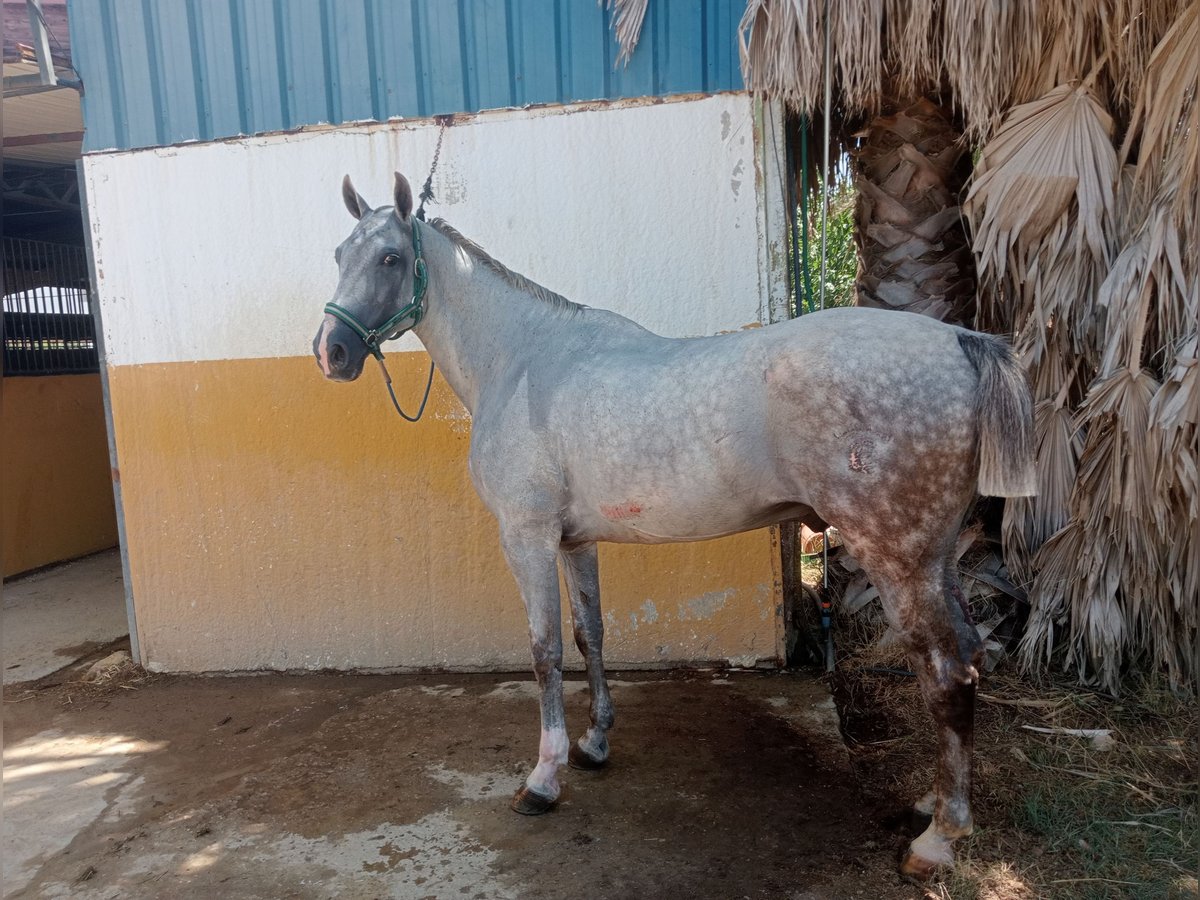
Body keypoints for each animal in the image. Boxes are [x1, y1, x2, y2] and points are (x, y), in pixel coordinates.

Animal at [314, 170, 1036, 883]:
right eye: (340, 254)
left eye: (390, 258)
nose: (332, 352)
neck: (520, 363)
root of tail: (959, 343)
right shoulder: (575, 541)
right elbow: (591, 634)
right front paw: (594, 743)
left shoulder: (527, 537)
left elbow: (545, 651)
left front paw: (544, 780)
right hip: (934, 558)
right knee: (966, 657)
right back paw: (933, 803)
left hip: (897, 556)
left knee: (946, 673)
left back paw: (937, 841)